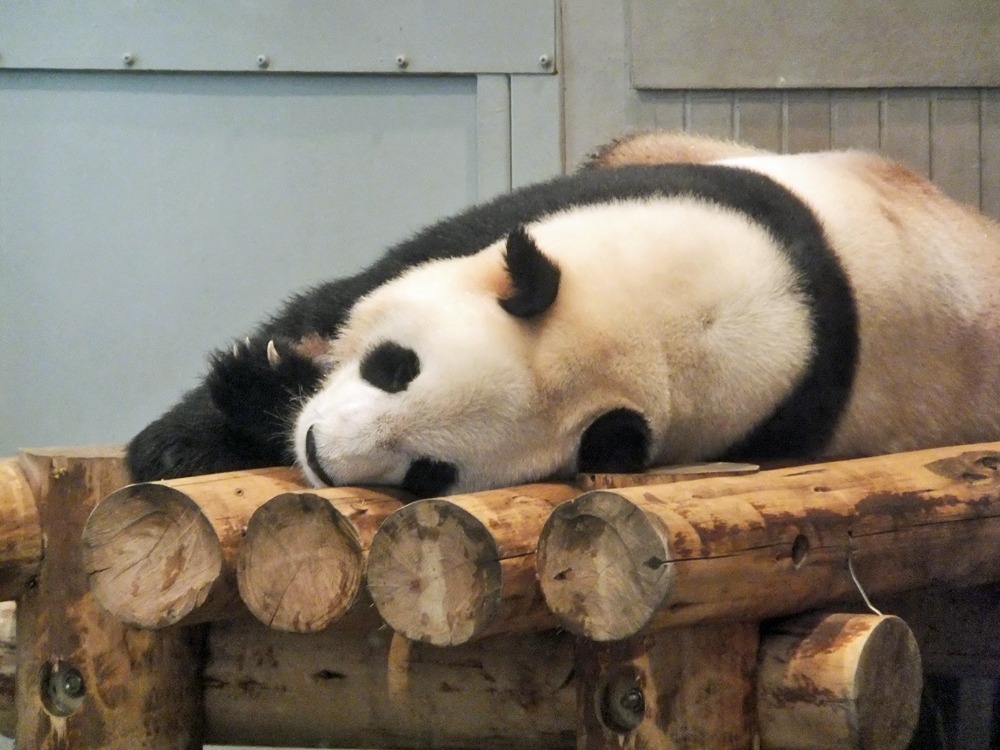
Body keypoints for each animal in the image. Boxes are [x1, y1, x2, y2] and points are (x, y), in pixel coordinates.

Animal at [127, 132, 1000, 498]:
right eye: (396, 366)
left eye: (430, 471)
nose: (318, 453)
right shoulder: (635, 192)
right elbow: (357, 288)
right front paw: (193, 431)